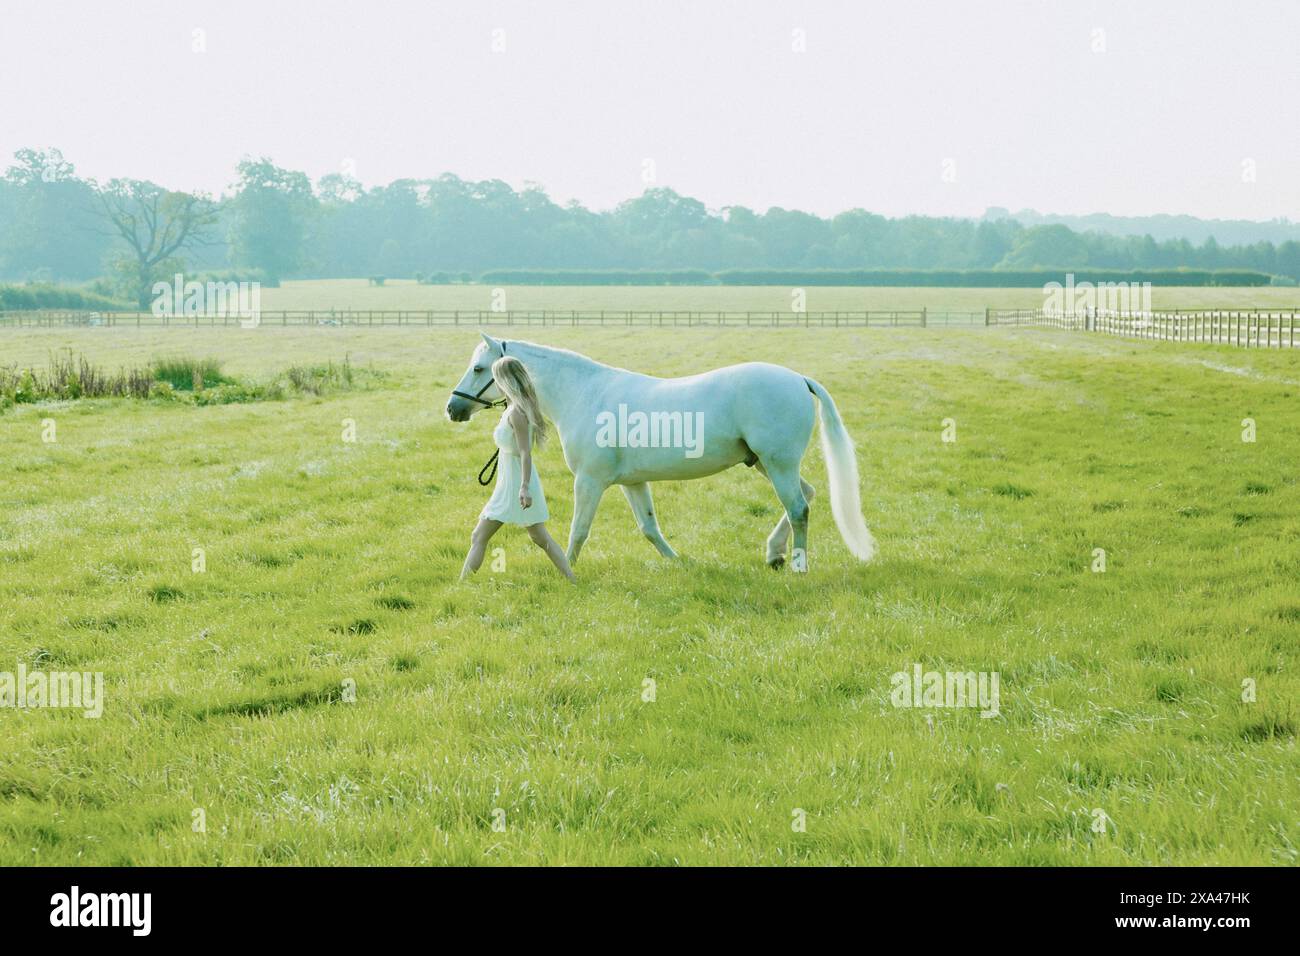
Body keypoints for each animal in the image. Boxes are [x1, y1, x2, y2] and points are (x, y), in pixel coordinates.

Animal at [441, 335, 878, 572]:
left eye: (479, 369)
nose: (453, 408)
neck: (584, 394)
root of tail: (799, 379)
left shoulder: (590, 481)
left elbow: (578, 530)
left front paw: (568, 569)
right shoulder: (633, 483)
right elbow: (649, 528)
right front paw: (679, 562)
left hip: (777, 463)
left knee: (799, 508)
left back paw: (798, 564)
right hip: (766, 465)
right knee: (807, 496)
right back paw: (774, 555)